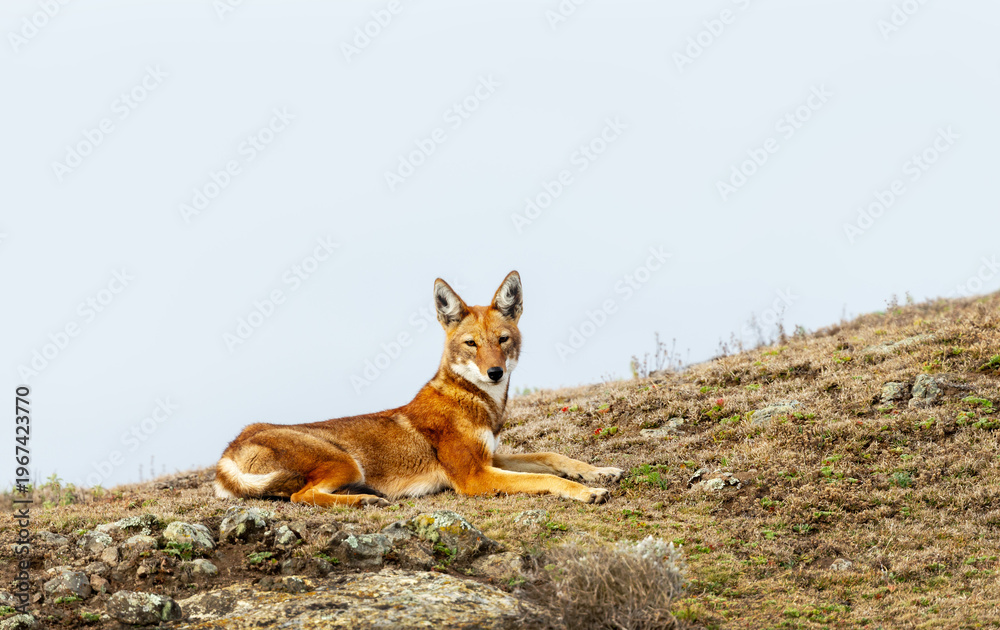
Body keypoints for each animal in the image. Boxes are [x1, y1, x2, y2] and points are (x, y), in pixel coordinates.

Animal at [214, 271, 623, 507]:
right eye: (472, 344)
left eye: (502, 340)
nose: (494, 373)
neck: (477, 403)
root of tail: (231, 447)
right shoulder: (474, 477)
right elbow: (545, 477)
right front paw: (588, 492)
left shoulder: (490, 459)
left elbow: (553, 457)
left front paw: (599, 472)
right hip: (346, 462)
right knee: (302, 496)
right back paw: (363, 502)